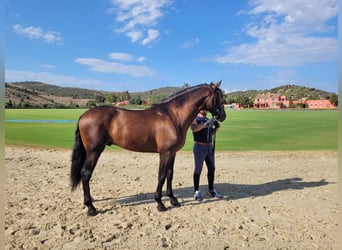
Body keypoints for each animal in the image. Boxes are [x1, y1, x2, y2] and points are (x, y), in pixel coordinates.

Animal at [70, 81, 226, 216]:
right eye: (219, 97)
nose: (223, 116)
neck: (172, 116)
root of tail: (84, 115)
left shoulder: (172, 153)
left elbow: (170, 174)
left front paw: (173, 199)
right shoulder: (165, 153)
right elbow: (161, 176)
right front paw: (160, 203)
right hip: (94, 151)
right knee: (85, 173)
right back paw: (90, 207)